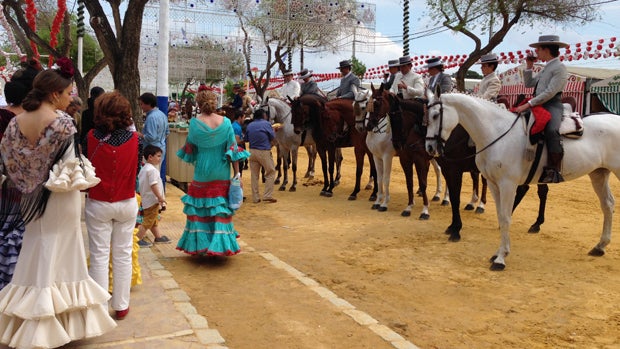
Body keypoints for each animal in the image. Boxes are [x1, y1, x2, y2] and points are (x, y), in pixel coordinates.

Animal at [424, 90, 620, 270]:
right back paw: (600, 246)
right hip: (598, 173)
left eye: (435, 115)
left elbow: (505, 218)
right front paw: (498, 253)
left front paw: (500, 259)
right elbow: (501, 216)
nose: (430, 147)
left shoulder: (507, 184)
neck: (496, 132)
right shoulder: (494, 184)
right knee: (608, 204)